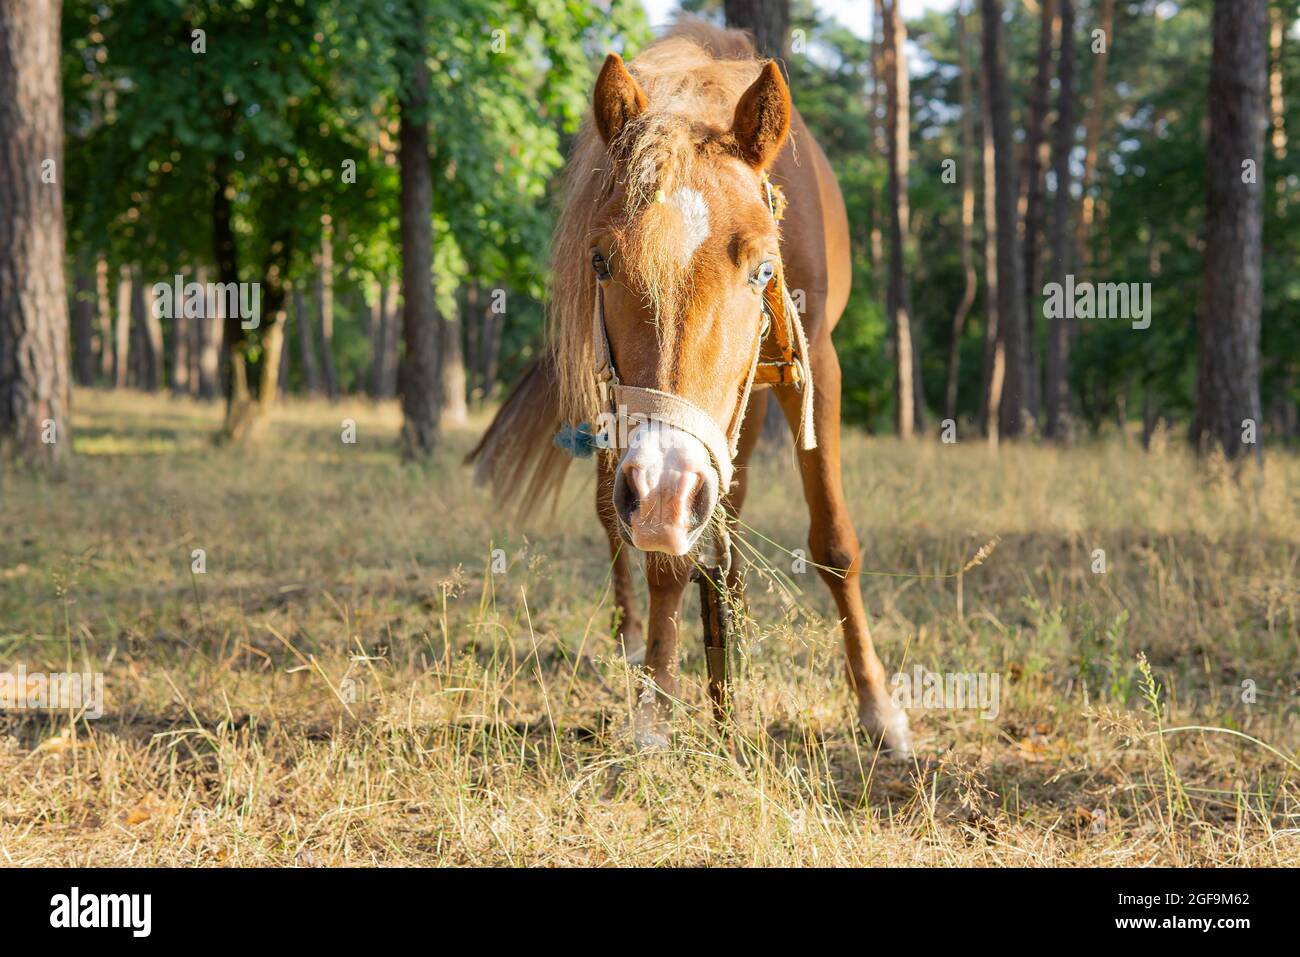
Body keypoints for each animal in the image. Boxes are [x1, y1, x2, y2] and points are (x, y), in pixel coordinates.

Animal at [469, 20, 912, 757]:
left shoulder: (814, 365)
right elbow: (663, 558)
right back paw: (639, 640)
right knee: (612, 512)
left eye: (763, 268)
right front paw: (657, 703)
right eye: (601, 262)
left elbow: (834, 542)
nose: (664, 493)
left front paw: (878, 707)